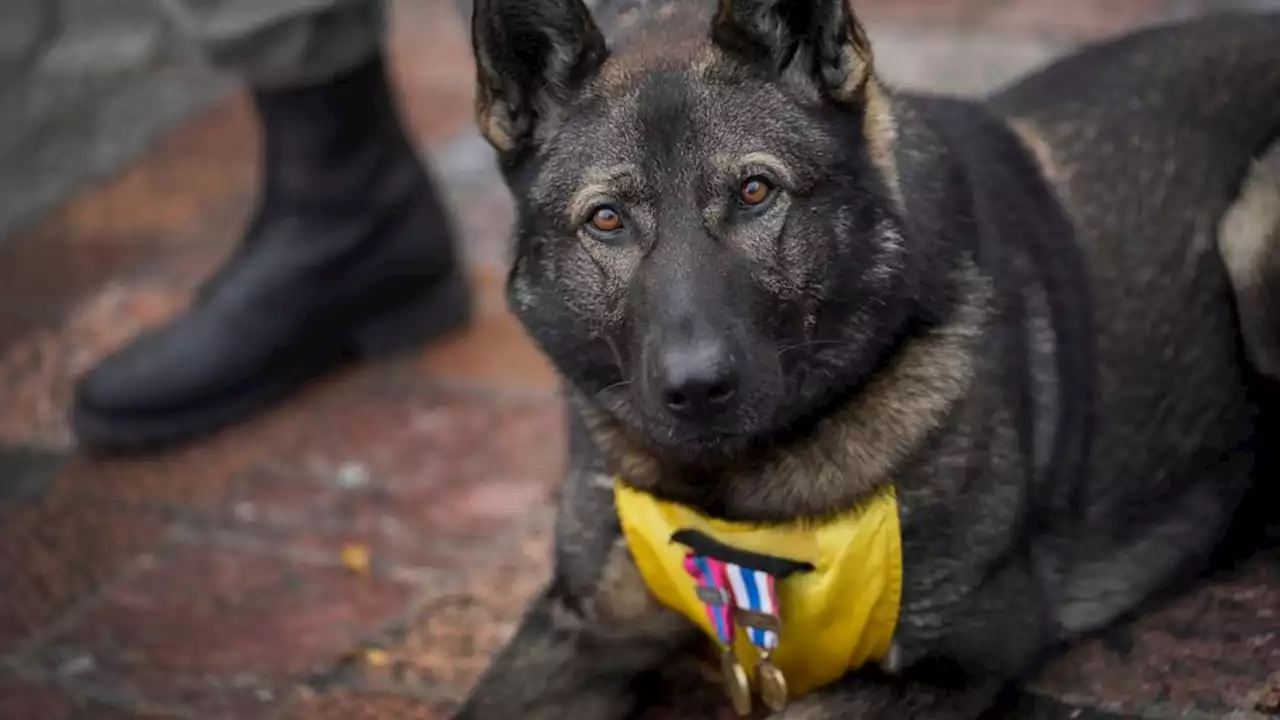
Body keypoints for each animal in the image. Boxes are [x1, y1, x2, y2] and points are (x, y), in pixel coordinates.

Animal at [450, 2, 1280, 712]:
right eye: (607, 219)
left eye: (756, 191)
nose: (696, 388)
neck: (732, 499)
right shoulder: (580, 627)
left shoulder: (944, 660)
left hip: (1250, 236)